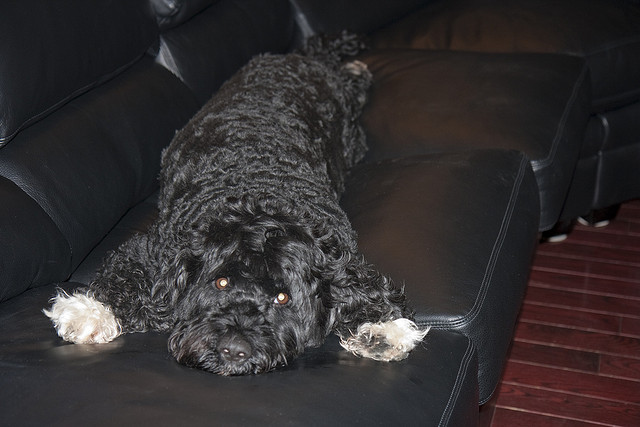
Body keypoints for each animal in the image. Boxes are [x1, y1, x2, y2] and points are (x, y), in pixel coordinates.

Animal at [44, 33, 428, 375]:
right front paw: (89, 310)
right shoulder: (156, 249)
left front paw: (383, 330)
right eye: (221, 283)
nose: (233, 348)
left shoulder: (338, 256)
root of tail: (298, 59)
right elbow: (121, 274)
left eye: (283, 298)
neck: (260, 195)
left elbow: (367, 290)